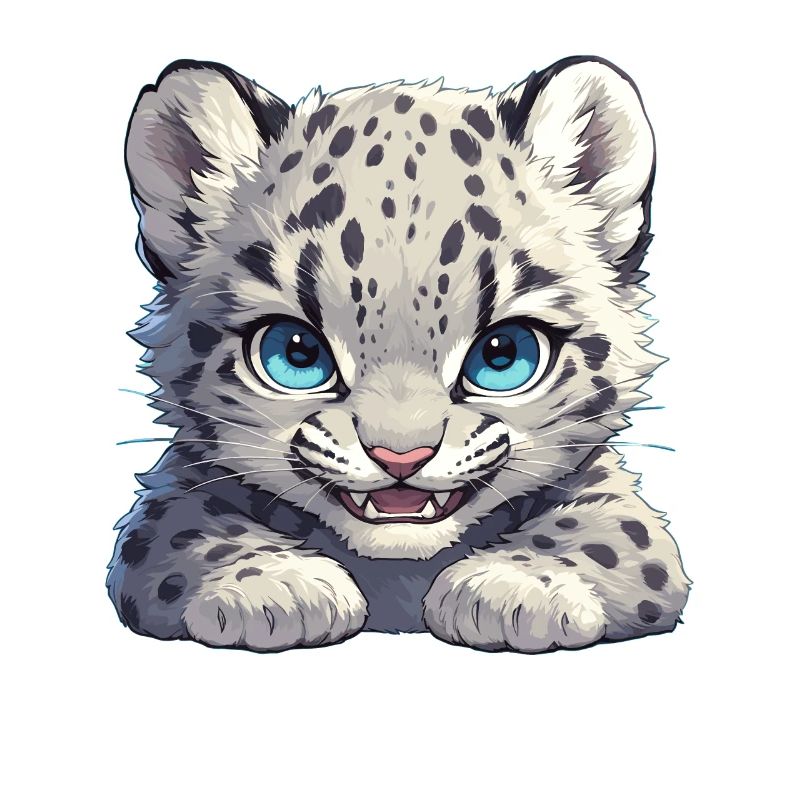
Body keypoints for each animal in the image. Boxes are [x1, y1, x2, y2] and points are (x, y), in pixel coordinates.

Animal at [107, 55, 690, 653]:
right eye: (295, 352)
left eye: (504, 354)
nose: (401, 457)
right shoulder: (171, 496)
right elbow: (190, 528)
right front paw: (273, 586)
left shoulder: (614, 500)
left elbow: (610, 532)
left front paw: (517, 587)